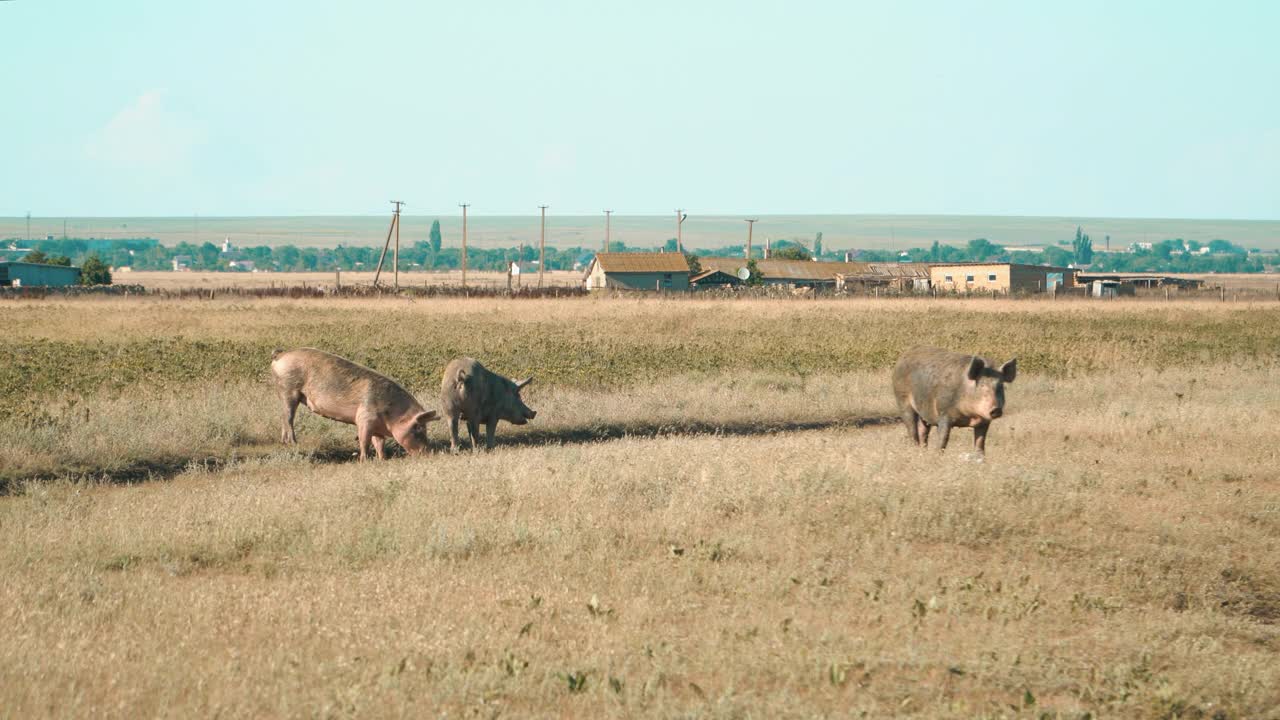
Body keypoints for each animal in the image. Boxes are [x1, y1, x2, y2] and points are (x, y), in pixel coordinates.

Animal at [270, 348, 440, 458]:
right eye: (418, 428)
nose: (430, 452)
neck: (393, 414)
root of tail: (281, 354)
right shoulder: (364, 418)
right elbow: (364, 441)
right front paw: (364, 460)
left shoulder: (377, 427)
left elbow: (379, 443)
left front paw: (382, 459)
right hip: (289, 389)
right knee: (288, 418)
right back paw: (293, 442)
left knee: (283, 417)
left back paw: (284, 442)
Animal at [890, 345, 1018, 453]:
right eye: (982, 385)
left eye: (1000, 386)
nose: (996, 409)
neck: (969, 416)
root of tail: (903, 356)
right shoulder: (944, 414)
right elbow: (943, 439)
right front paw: (937, 455)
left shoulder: (984, 421)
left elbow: (980, 442)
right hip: (902, 399)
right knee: (911, 428)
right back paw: (915, 449)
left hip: (923, 410)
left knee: (923, 431)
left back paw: (923, 451)